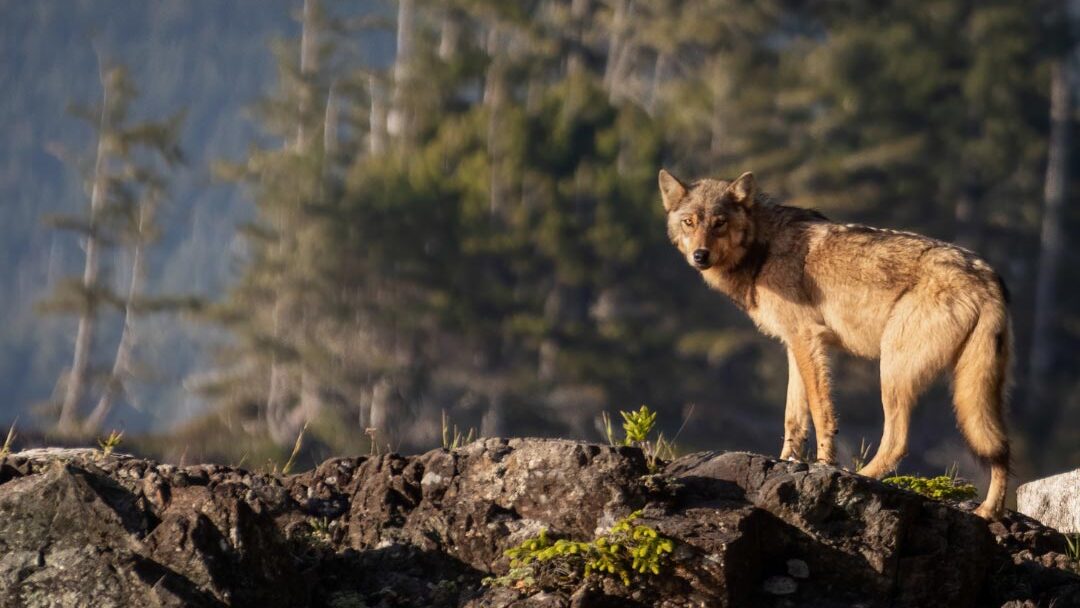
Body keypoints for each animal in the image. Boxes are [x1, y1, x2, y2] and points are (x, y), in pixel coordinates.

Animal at [660, 169, 1011, 519]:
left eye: (719, 223)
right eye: (689, 222)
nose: (700, 255)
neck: (764, 248)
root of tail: (986, 278)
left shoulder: (807, 339)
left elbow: (820, 411)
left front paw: (824, 463)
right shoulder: (794, 346)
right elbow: (793, 418)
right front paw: (787, 461)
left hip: (893, 372)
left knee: (899, 441)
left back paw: (862, 477)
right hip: (975, 387)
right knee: (1000, 446)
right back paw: (989, 510)